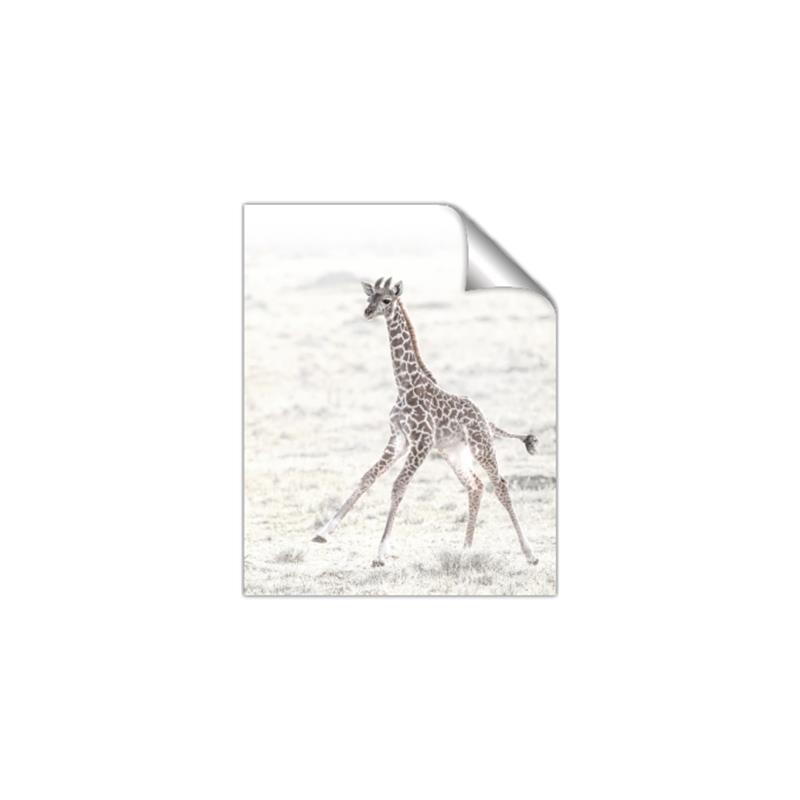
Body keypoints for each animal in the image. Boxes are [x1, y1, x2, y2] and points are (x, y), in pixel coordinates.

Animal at [312, 277, 540, 567]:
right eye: (368, 298)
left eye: (386, 300)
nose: (367, 312)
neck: (405, 384)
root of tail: (485, 419)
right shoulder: (398, 438)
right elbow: (368, 477)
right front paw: (322, 533)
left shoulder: (421, 441)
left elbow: (398, 486)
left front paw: (380, 554)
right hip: (453, 451)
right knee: (475, 485)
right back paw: (465, 550)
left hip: (481, 445)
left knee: (499, 485)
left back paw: (530, 553)